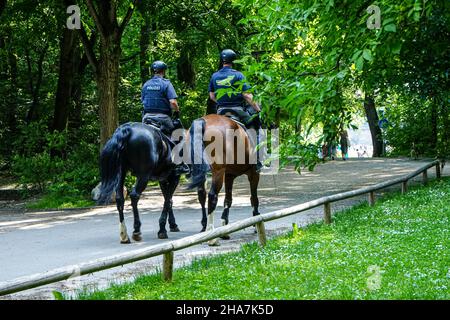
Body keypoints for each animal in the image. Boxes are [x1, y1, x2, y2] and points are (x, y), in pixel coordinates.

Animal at [185, 114, 260, 246]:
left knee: (202, 195)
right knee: (212, 196)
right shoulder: (253, 174)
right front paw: (256, 221)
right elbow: (254, 198)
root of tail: (202, 121)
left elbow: (228, 200)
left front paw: (225, 229)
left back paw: (206, 229)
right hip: (218, 171)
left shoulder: (229, 176)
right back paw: (212, 236)